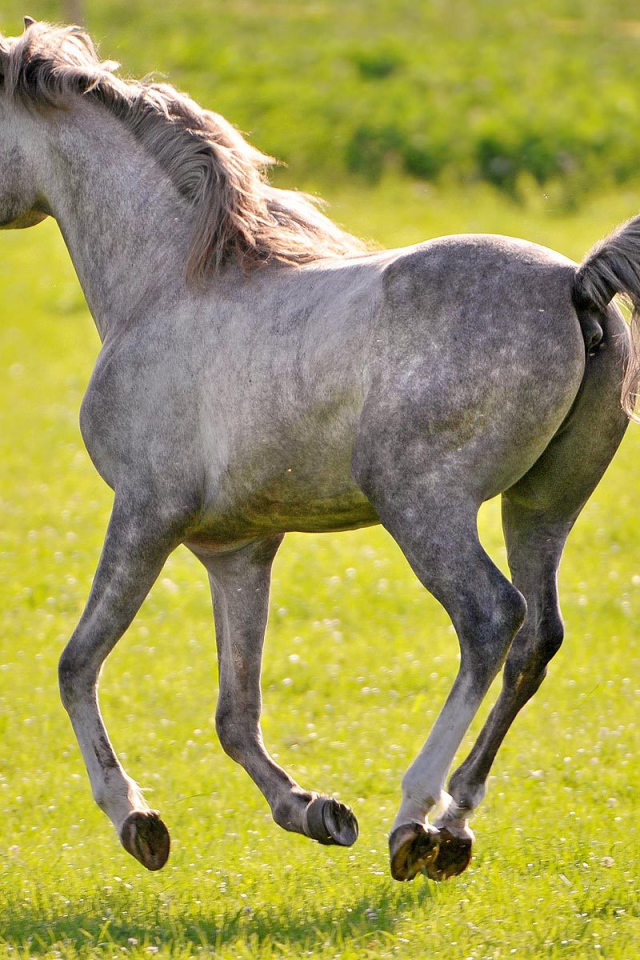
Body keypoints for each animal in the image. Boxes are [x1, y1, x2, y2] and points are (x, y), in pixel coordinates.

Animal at [2, 19, 640, 883]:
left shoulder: (145, 514)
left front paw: (138, 821)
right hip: (541, 507)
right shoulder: (236, 549)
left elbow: (76, 664)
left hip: (423, 505)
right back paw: (455, 825)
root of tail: (577, 284)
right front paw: (316, 812)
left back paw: (414, 819)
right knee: (537, 636)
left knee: (490, 618)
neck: (168, 285)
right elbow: (235, 714)